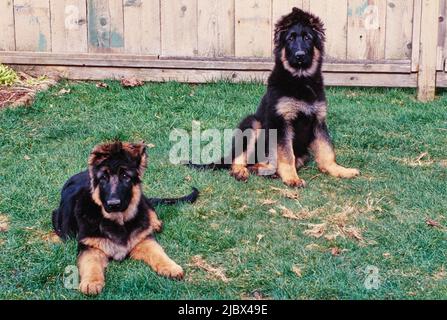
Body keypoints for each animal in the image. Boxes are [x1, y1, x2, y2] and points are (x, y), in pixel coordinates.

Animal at [52, 141, 200, 296]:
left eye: (125, 176)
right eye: (103, 178)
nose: (113, 204)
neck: (118, 220)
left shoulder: (144, 241)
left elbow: (158, 253)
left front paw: (170, 266)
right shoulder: (89, 247)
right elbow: (90, 263)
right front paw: (91, 282)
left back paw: (154, 223)